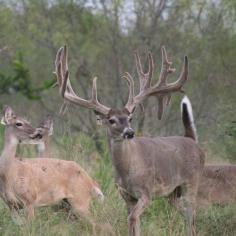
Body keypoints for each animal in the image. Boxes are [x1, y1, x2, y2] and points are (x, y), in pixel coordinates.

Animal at [54, 45, 205, 235]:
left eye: (130, 118)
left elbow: (132, 218)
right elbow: (132, 223)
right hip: (172, 193)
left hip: (192, 181)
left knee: (193, 215)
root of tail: (193, 141)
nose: (130, 132)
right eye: (111, 120)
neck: (127, 172)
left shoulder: (146, 192)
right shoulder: (126, 196)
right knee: (187, 215)